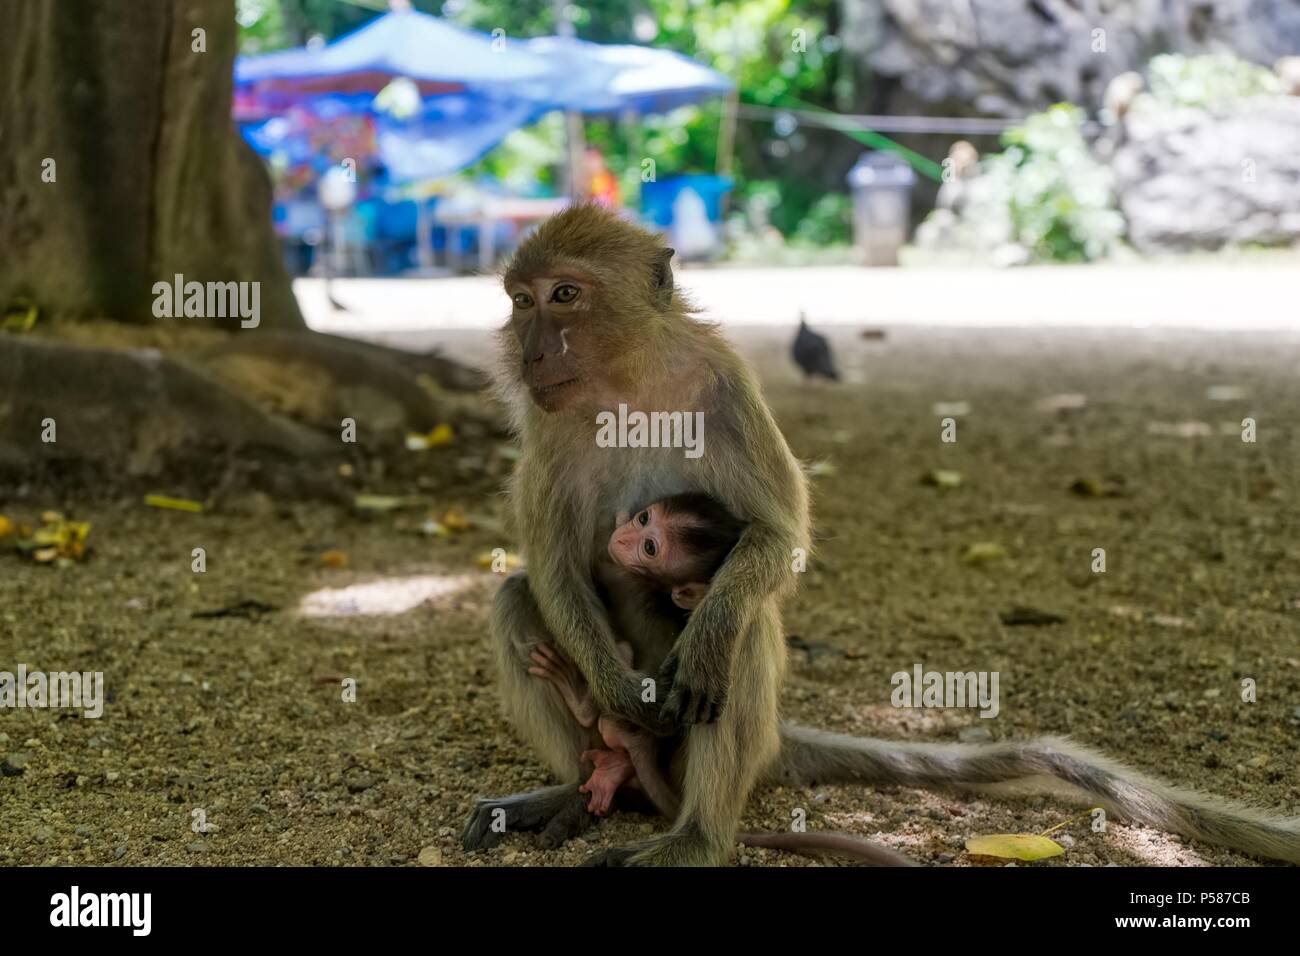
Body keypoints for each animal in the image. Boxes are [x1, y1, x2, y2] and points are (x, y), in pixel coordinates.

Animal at [465, 204, 1300, 868]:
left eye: (565, 295)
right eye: (521, 300)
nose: (532, 348)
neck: (628, 385)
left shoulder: (726, 385)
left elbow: (777, 538)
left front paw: (708, 635)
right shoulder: (544, 424)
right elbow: (554, 567)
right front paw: (612, 686)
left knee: (742, 628)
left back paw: (697, 833)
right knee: (517, 598)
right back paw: (581, 787)